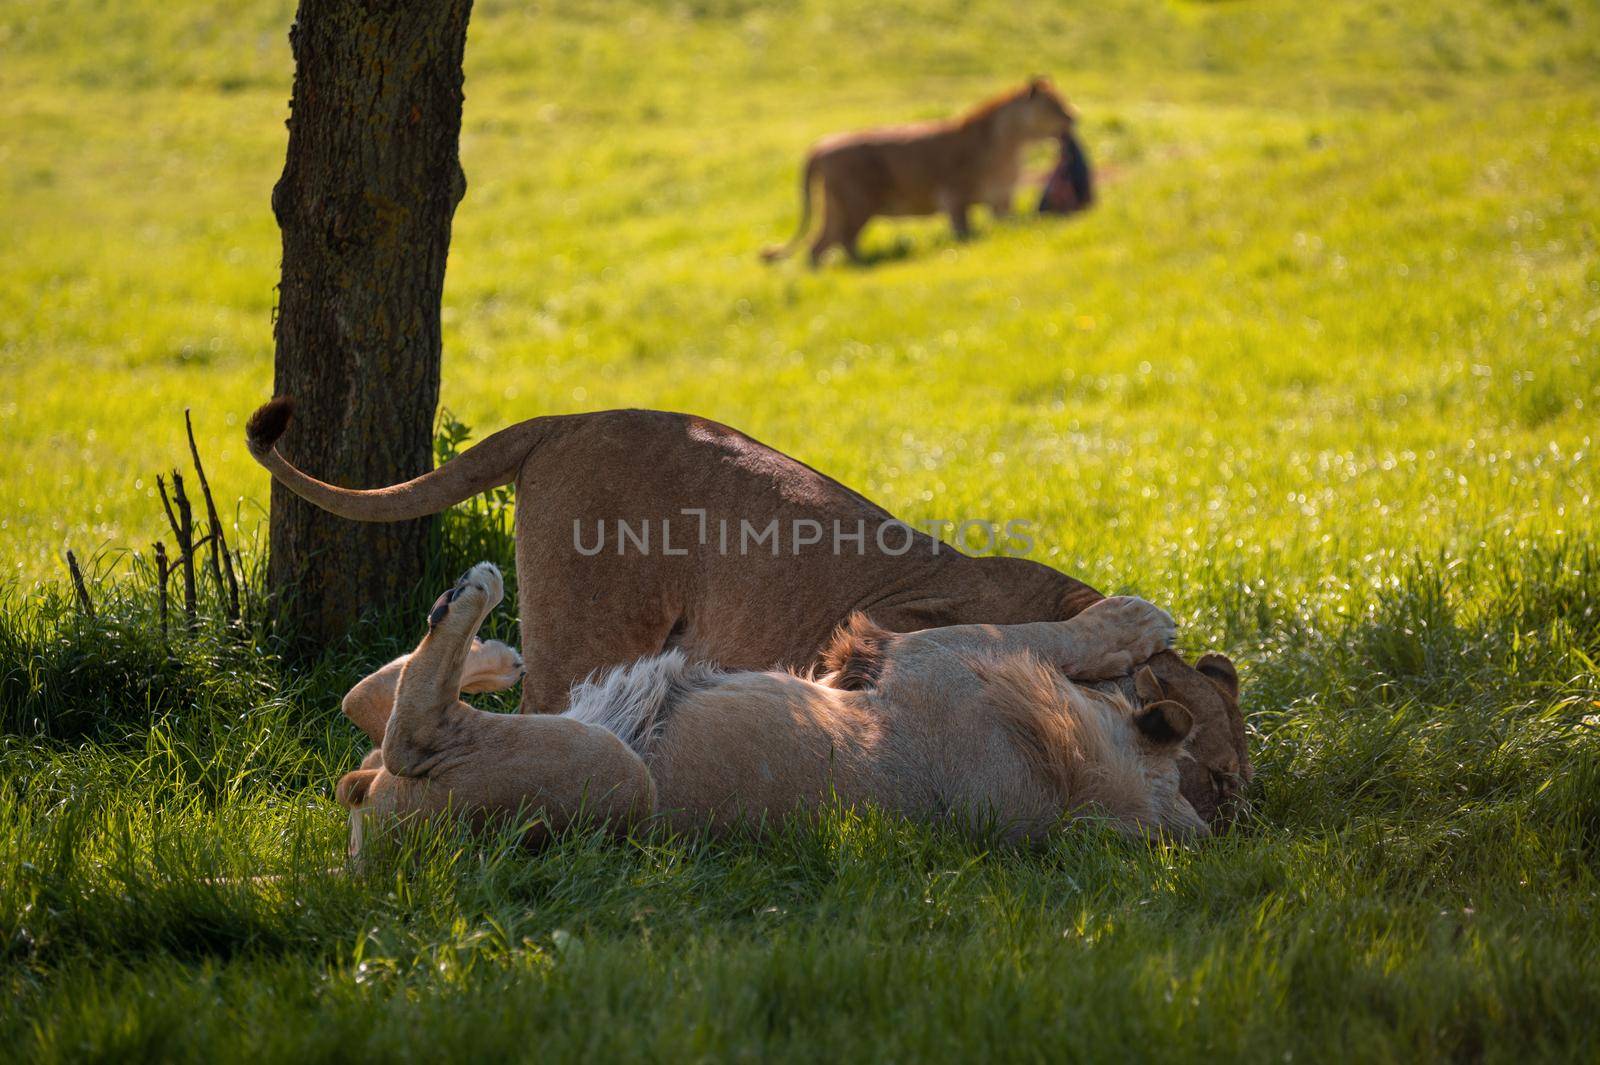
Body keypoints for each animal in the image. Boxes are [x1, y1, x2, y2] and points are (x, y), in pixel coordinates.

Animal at [246, 398, 1248, 818]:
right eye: (1219, 775)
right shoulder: (891, 638)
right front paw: (1136, 620)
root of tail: (567, 419)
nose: (1229, 833)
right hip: (588, 633)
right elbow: (1048, 634)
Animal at [340, 559, 1209, 850]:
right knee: (366, 705)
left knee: (411, 728)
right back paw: (491, 650)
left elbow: (1049, 635)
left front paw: (1133, 622)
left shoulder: (921, 653)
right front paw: (1139, 621)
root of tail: (373, 814)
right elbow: (1052, 634)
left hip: (612, 775)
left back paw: (472, 603)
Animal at [758, 75, 1075, 263]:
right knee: (842, 242)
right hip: (856, 205)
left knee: (819, 245)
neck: (1014, 145)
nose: (1075, 116)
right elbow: (964, 232)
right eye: (1055, 104)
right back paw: (863, 265)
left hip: (837, 208)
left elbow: (1014, 225)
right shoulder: (953, 196)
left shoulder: (1001, 201)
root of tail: (818, 146)